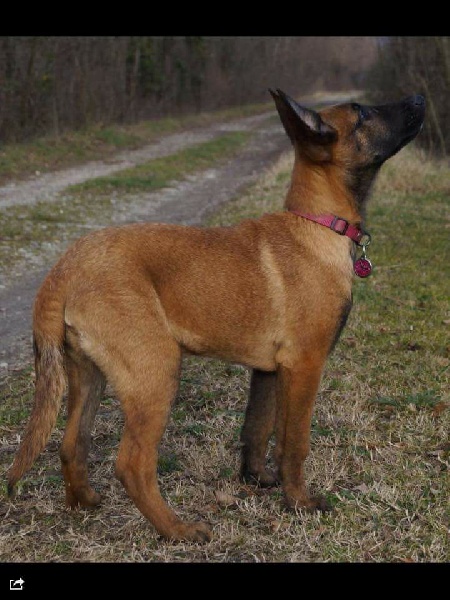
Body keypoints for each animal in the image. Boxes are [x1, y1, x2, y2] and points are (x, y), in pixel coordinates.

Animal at [7, 90, 425, 542]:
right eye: (362, 113)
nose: (419, 98)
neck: (317, 225)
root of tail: (63, 269)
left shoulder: (270, 370)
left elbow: (257, 429)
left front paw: (258, 479)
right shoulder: (305, 365)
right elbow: (293, 442)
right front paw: (299, 502)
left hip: (88, 374)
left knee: (71, 444)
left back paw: (83, 502)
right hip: (156, 372)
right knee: (132, 464)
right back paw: (179, 530)